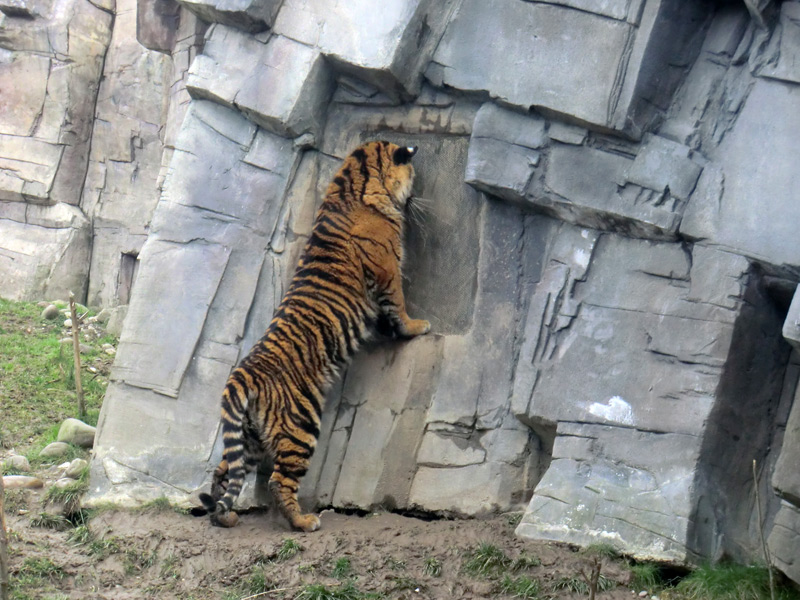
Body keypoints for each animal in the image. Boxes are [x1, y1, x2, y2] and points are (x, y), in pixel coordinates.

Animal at [195, 139, 432, 528]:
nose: (415, 198)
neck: (352, 185)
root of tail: (240, 376)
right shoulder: (387, 270)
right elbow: (398, 305)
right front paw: (417, 327)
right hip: (300, 425)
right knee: (278, 480)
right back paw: (304, 522)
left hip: (248, 436)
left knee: (224, 471)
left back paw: (225, 517)